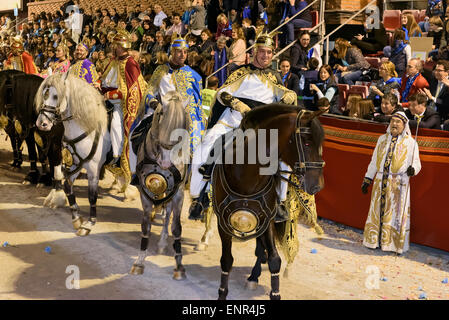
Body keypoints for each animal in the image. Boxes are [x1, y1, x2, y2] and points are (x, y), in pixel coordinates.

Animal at [34, 74, 130, 235]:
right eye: (44, 94)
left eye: (56, 96)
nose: (42, 124)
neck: (87, 127)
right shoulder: (77, 164)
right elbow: (67, 186)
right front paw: (76, 218)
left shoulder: (93, 169)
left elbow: (92, 196)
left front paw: (89, 223)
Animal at [212, 105, 324, 300]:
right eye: (307, 143)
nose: (317, 186)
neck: (247, 174)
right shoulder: (223, 222)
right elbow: (226, 260)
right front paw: (222, 294)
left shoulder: (267, 220)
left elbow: (274, 260)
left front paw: (275, 293)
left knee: (260, 249)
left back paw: (254, 276)